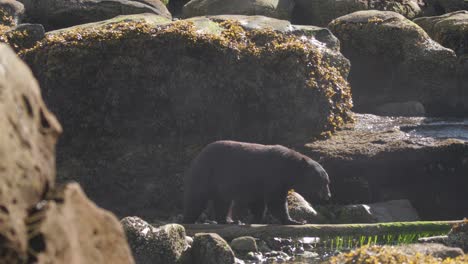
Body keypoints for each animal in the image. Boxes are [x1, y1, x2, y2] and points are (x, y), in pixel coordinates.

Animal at [181, 140, 330, 225]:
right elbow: (275, 201)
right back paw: (189, 219)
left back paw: (227, 220)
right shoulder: (272, 176)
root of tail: (198, 156)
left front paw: (256, 219)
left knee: (222, 202)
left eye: (327, 181)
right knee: (197, 198)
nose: (328, 196)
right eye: (323, 182)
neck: (287, 168)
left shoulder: (262, 183)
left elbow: (258, 202)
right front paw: (295, 220)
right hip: (207, 173)